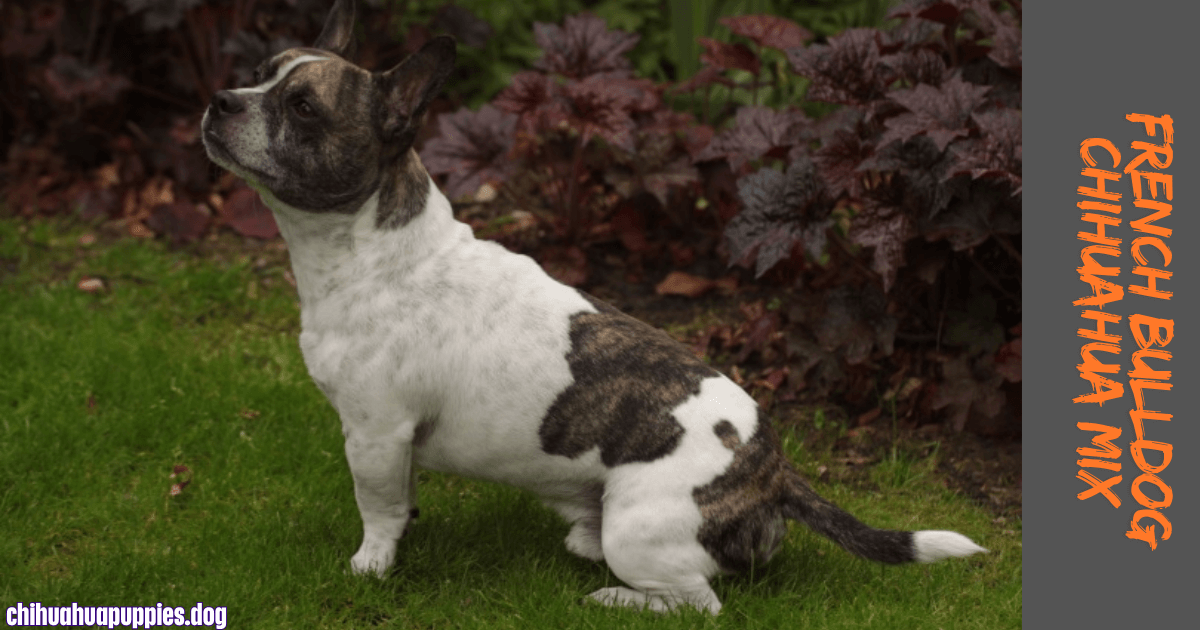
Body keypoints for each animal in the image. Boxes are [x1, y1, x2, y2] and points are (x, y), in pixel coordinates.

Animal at [199, 0, 984, 612]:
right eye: (258, 72)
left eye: (302, 107)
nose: (220, 98)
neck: (374, 249)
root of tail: (771, 469)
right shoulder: (389, 442)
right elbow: (404, 498)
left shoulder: (374, 433)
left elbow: (380, 508)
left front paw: (371, 564)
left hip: (639, 532)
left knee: (698, 601)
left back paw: (614, 597)